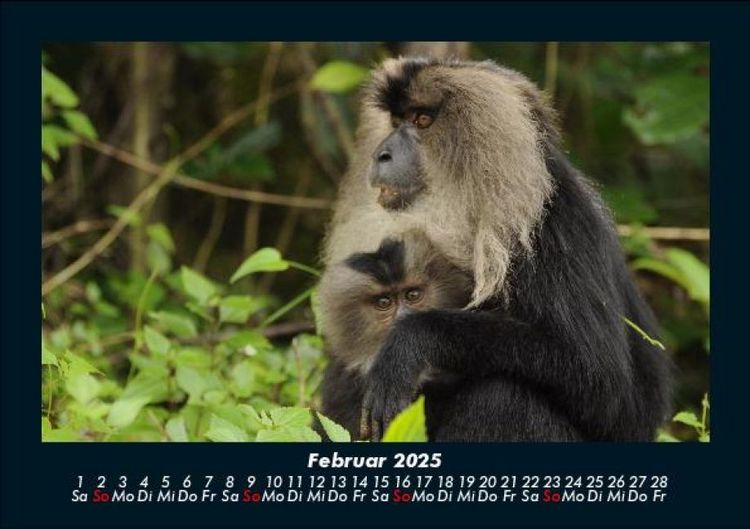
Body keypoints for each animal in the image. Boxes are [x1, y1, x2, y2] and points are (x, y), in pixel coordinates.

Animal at [319, 57, 672, 441]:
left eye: (422, 119)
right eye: (397, 122)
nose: (382, 154)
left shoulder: (557, 227)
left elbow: (600, 381)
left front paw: (410, 342)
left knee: (503, 394)